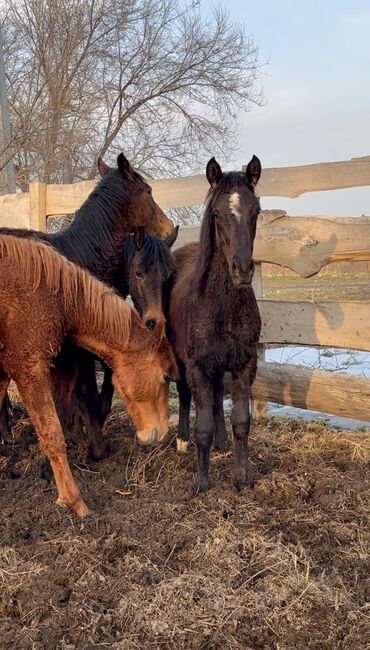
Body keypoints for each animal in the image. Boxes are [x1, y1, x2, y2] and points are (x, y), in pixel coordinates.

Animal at [169, 156, 262, 492]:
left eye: (256, 210)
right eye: (217, 213)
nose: (243, 269)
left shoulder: (244, 364)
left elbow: (241, 422)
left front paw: (243, 477)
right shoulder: (196, 366)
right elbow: (203, 426)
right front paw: (201, 481)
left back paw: (221, 442)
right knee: (185, 395)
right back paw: (182, 440)